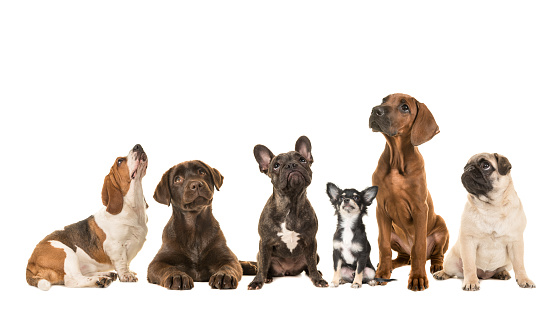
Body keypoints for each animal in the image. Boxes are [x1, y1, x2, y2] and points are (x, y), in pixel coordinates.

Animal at [366, 93, 448, 292]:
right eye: (383, 100)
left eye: (405, 107)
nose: (375, 110)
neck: (396, 161)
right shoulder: (381, 209)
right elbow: (383, 247)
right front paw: (382, 273)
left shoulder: (420, 209)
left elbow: (419, 247)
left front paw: (418, 278)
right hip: (392, 233)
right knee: (403, 257)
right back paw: (387, 266)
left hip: (442, 228)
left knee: (434, 254)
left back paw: (436, 266)